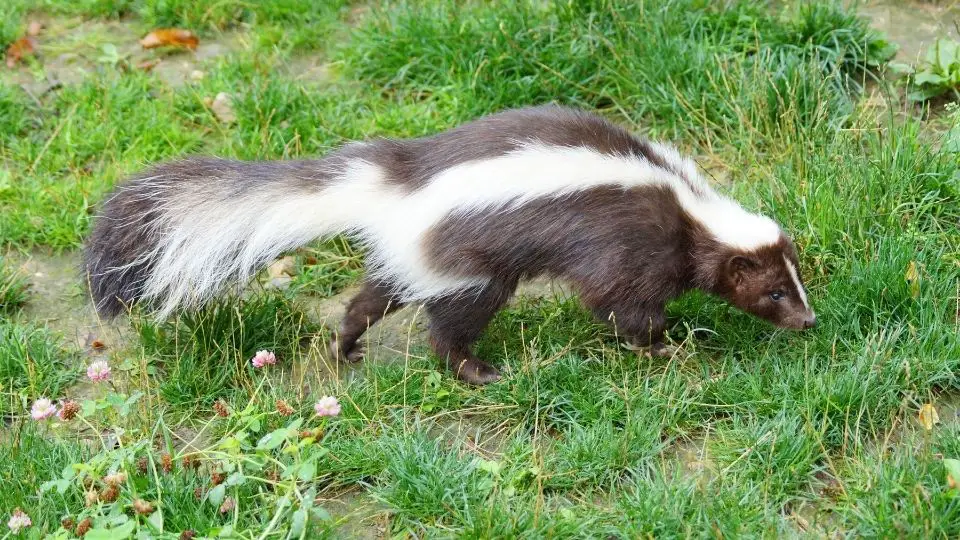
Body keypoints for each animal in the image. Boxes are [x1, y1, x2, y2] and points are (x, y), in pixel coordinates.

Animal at [86, 105, 812, 384]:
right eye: (774, 291)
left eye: (795, 282)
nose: (808, 321)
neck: (693, 210)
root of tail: (392, 183)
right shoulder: (631, 243)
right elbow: (620, 303)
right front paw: (666, 345)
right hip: (468, 262)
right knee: (452, 322)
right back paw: (476, 369)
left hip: (413, 253)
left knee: (371, 297)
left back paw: (345, 347)